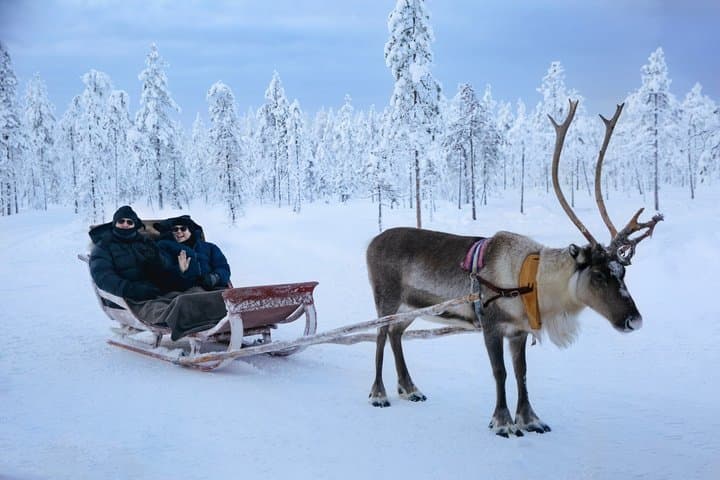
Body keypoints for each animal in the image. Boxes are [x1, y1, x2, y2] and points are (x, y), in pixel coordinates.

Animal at [365, 99, 663, 437]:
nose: (633, 320)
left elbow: (522, 373)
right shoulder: (492, 326)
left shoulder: (519, 332)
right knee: (380, 335)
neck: (531, 283)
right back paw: (379, 393)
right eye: (598, 274)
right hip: (386, 299)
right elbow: (501, 372)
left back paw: (409, 387)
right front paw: (503, 422)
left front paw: (530, 418)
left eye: (622, 272)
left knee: (395, 334)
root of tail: (371, 242)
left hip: (411, 308)